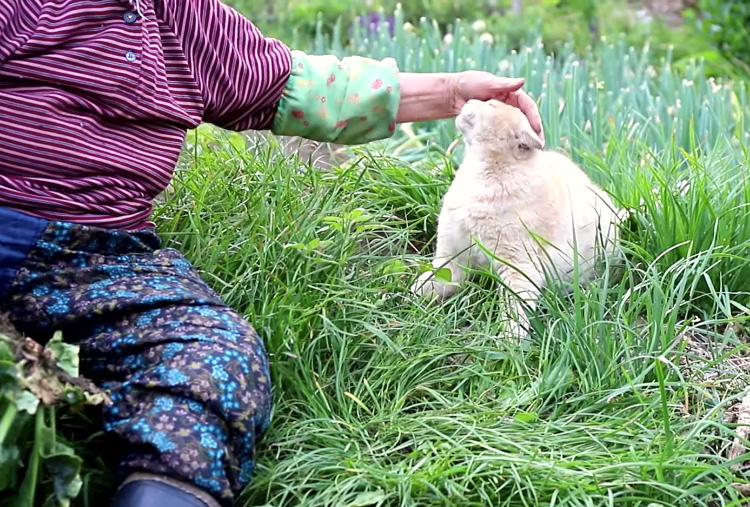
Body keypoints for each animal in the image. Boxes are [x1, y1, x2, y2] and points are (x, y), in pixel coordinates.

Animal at [412, 98, 624, 340]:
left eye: (491, 104)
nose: (470, 100)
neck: (481, 172)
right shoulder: (452, 252)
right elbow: (439, 277)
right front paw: (418, 291)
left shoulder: (519, 267)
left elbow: (514, 308)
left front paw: (509, 341)